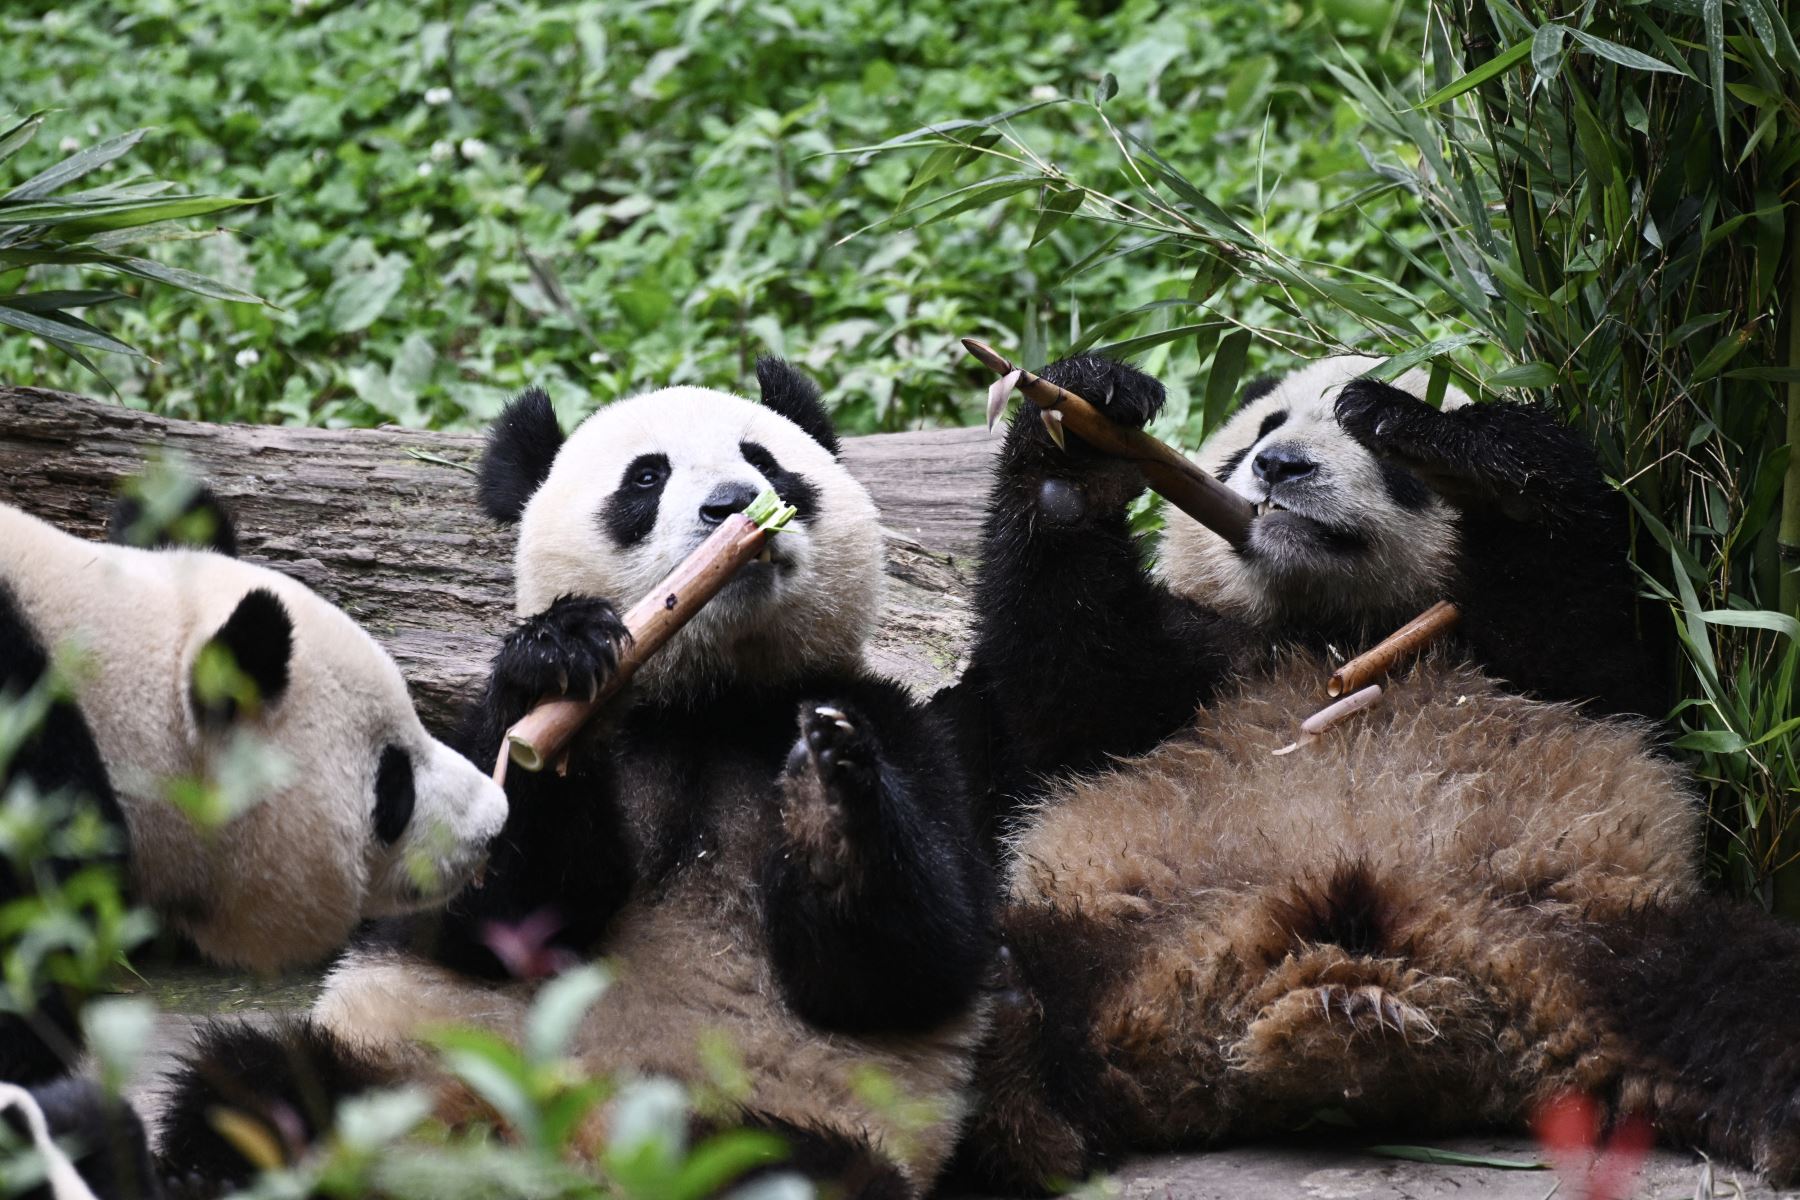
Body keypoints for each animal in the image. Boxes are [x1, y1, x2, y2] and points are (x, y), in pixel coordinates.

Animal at [151, 359, 1000, 1200]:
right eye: (647, 477)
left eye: (764, 458)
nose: (733, 505)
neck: (705, 698)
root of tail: (549, 1149)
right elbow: (485, 911)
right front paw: (556, 655)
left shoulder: (894, 726)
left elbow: (915, 961)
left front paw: (825, 804)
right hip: (400, 1068)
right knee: (251, 1089)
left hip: (763, 1122)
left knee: (801, 1173)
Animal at [943, 354, 1800, 1194]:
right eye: (1263, 428)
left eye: (1375, 454)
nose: (1280, 465)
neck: (1337, 624)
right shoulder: (1199, 672)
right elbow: (1070, 684)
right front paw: (1080, 436)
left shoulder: (1542, 667)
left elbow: (1585, 623)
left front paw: (1450, 446)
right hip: (1120, 926)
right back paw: (1005, 1050)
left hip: (1613, 935)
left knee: (1748, 988)